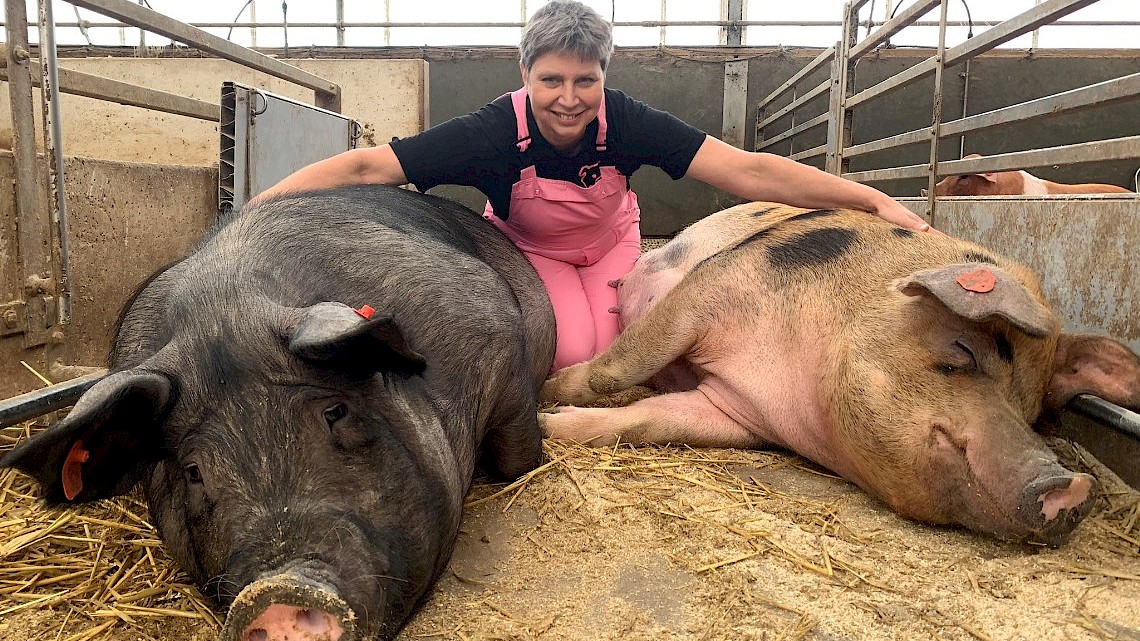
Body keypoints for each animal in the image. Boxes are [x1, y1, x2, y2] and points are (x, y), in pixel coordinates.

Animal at [540, 203, 1140, 542]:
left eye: (1033, 412)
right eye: (964, 352)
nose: (1071, 486)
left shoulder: (735, 413)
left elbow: (646, 421)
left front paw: (551, 424)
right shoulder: (715, 284)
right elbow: (619, 368)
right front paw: (546, 395)